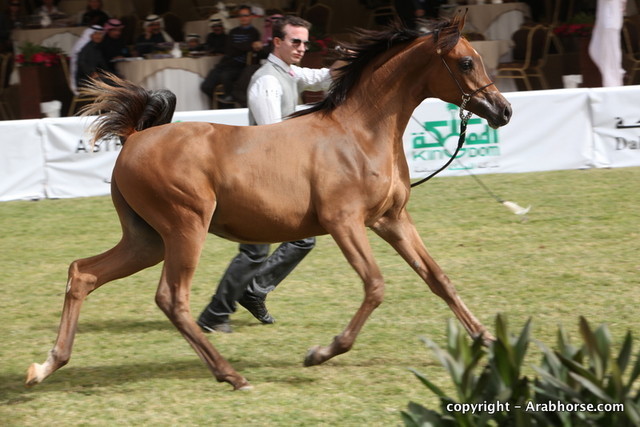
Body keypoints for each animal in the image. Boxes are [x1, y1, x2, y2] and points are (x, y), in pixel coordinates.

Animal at [26, 14, 512, 390]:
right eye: (466, 61)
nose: (502, 110)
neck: (358, 133)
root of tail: (134, 138)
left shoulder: (391, 219)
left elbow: (439, 279)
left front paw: (488, 340)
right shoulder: (344, 222)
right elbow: (375, 286)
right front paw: (320, 352)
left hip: (146, 240)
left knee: (83, 273)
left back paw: (46, 365)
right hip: (185, 228)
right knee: (172, 298)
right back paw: (231, 375)